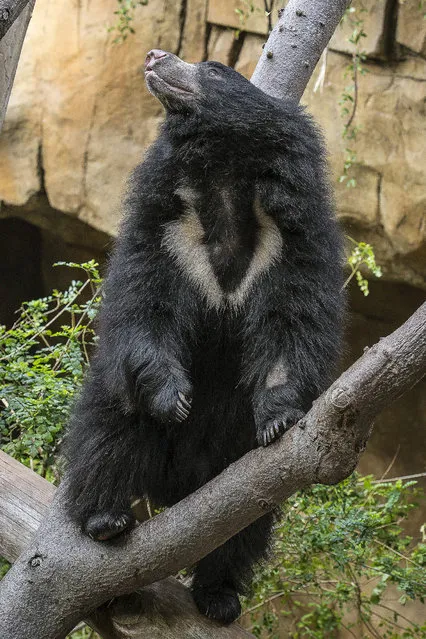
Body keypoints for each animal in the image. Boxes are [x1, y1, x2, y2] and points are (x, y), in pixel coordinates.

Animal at [65, 50, 344, 624]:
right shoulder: (165, 225)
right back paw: (104, 519)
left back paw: (219, 595)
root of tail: (179, 487)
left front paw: (280, 417)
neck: (223, 176)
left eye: (214, 69)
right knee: (108, 431)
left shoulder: (294, 235)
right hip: (124, 422)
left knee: (246, 525)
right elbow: (145, 304)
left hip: (235, 461)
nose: (155, 55)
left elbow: (293, 319)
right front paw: (174, 398)